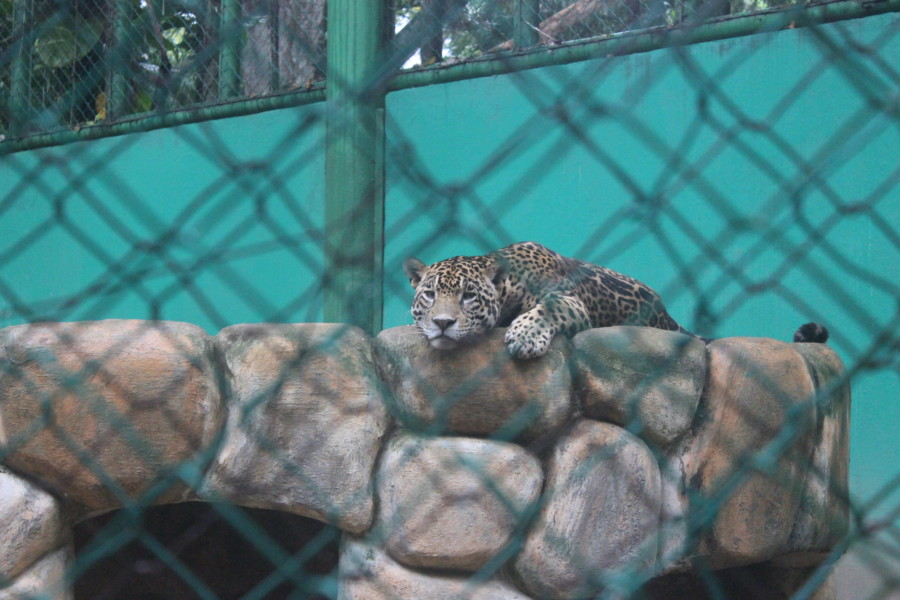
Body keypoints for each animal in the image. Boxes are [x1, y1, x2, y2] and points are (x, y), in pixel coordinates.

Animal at [403, 241, 829, 359]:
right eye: (430, 294)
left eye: (468, 297)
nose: (443, 323)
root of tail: (667, 316)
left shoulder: (568, 302)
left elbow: (545, 309)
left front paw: (524, 338)